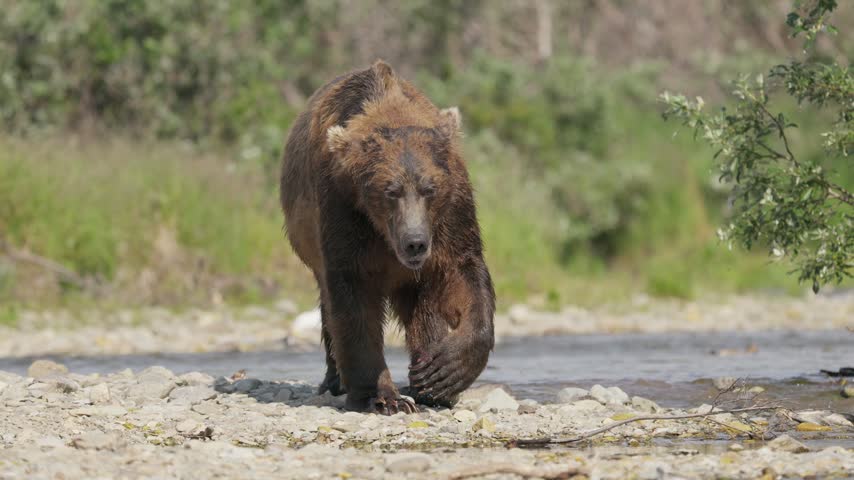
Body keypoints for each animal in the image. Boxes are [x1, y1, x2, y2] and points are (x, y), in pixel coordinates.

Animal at [280, 60, 495, 414]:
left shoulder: (451, 217)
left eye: (429, 188)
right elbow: (354, 302)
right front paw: (381, 397)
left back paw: (428, 378)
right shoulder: (344, 209)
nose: (415, 242)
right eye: (389, 191)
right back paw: (336, 380)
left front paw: (447, 370)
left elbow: (463, 274)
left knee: (424, 306)